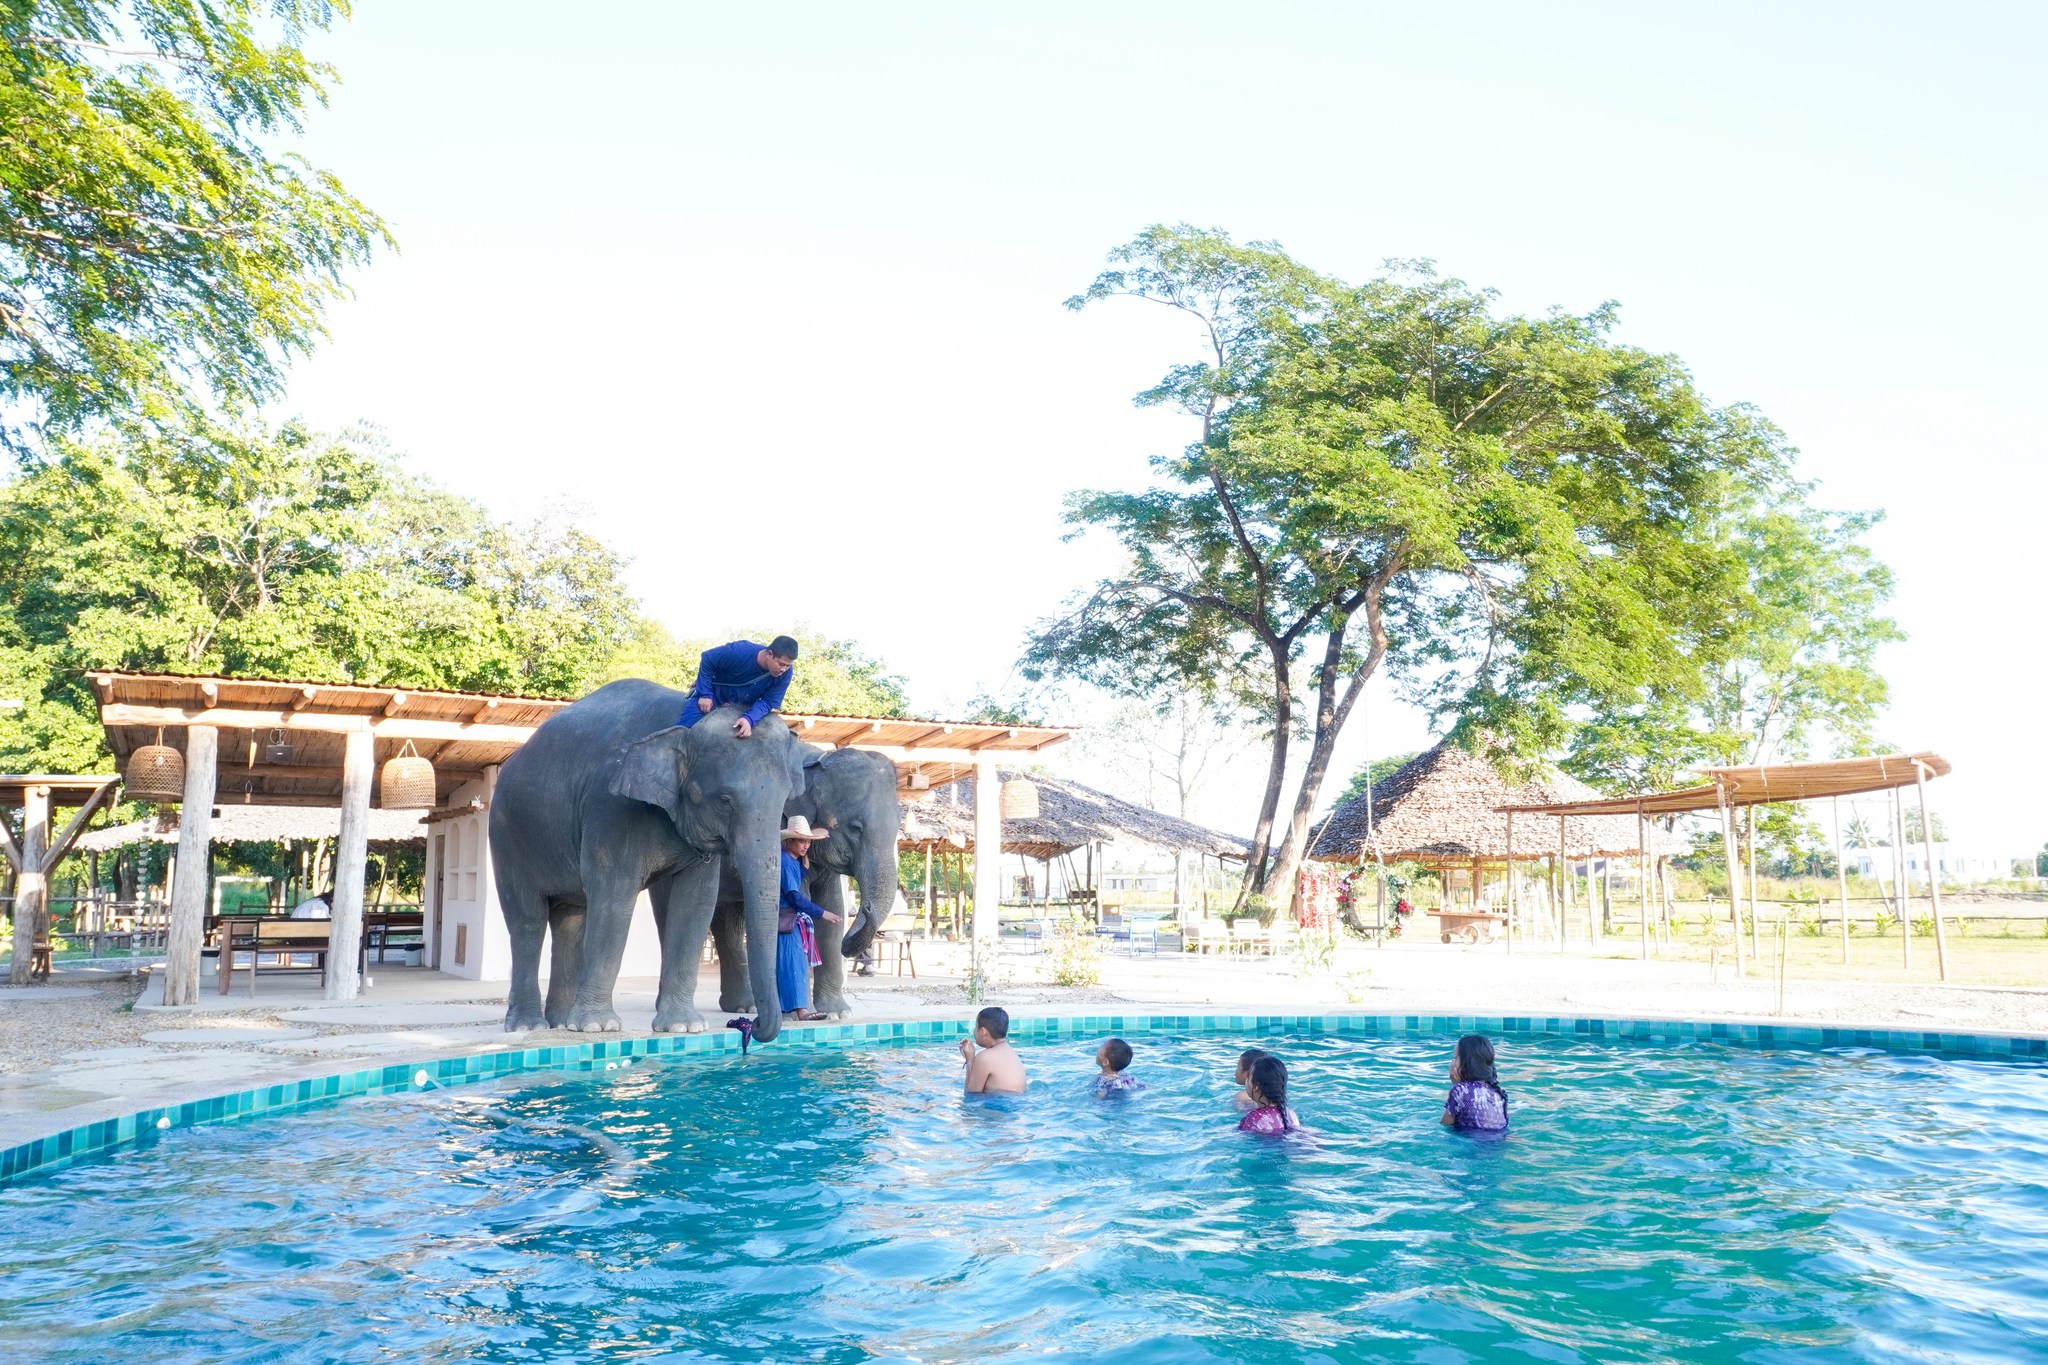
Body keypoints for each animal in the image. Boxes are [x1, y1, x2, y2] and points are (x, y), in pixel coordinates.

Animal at [487, 679, 807, 1040]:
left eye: (786, 799)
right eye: (725, 800)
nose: (749, 1024)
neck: (685, 723)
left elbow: (695, 904)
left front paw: (684, 1027)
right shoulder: (611, 807)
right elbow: (614, 898)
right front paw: (599, 1027)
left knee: (570, 920)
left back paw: (561, 1022)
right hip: (507, 834)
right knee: (527, 921)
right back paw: (529, 1025)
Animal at [704, 746, 902, 1018]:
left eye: (898, 828)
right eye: (855, 828)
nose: (867, 907)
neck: (814, 760)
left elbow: (831, 910)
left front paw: (838, 1013)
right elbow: (804, 900)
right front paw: (805, 1013)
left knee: (727, 922)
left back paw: (745, 1006)